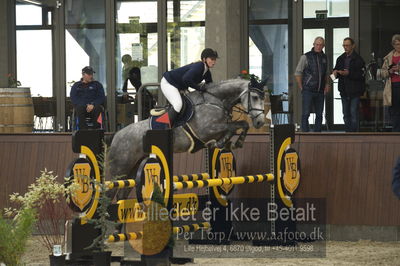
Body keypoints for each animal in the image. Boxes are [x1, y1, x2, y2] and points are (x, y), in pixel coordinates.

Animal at [108, 77, 268, 181]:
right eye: (255, 97)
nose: (260, 122)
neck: (215, 101)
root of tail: (115, 137)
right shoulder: (208, 129)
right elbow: (237, 125)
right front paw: (234, 142)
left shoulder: (218, 129)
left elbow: (238, 126)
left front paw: (225, 142)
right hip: (120, 169)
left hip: (133, 169)